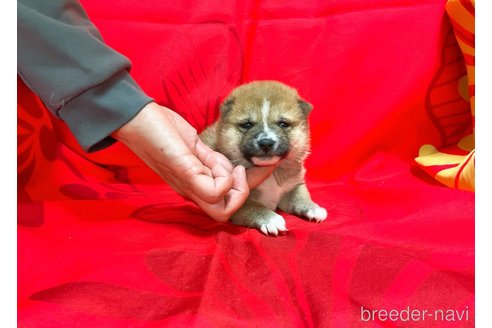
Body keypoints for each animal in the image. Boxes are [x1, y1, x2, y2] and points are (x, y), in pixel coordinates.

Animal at [200, 82, 326, 236]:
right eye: (247, 124)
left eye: (283, 123)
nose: (266, 142)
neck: (273, 174)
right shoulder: (235, 203)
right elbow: (253, 206)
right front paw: (271, 219)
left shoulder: (292, 186)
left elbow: (300, 196)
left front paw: (313, 208)